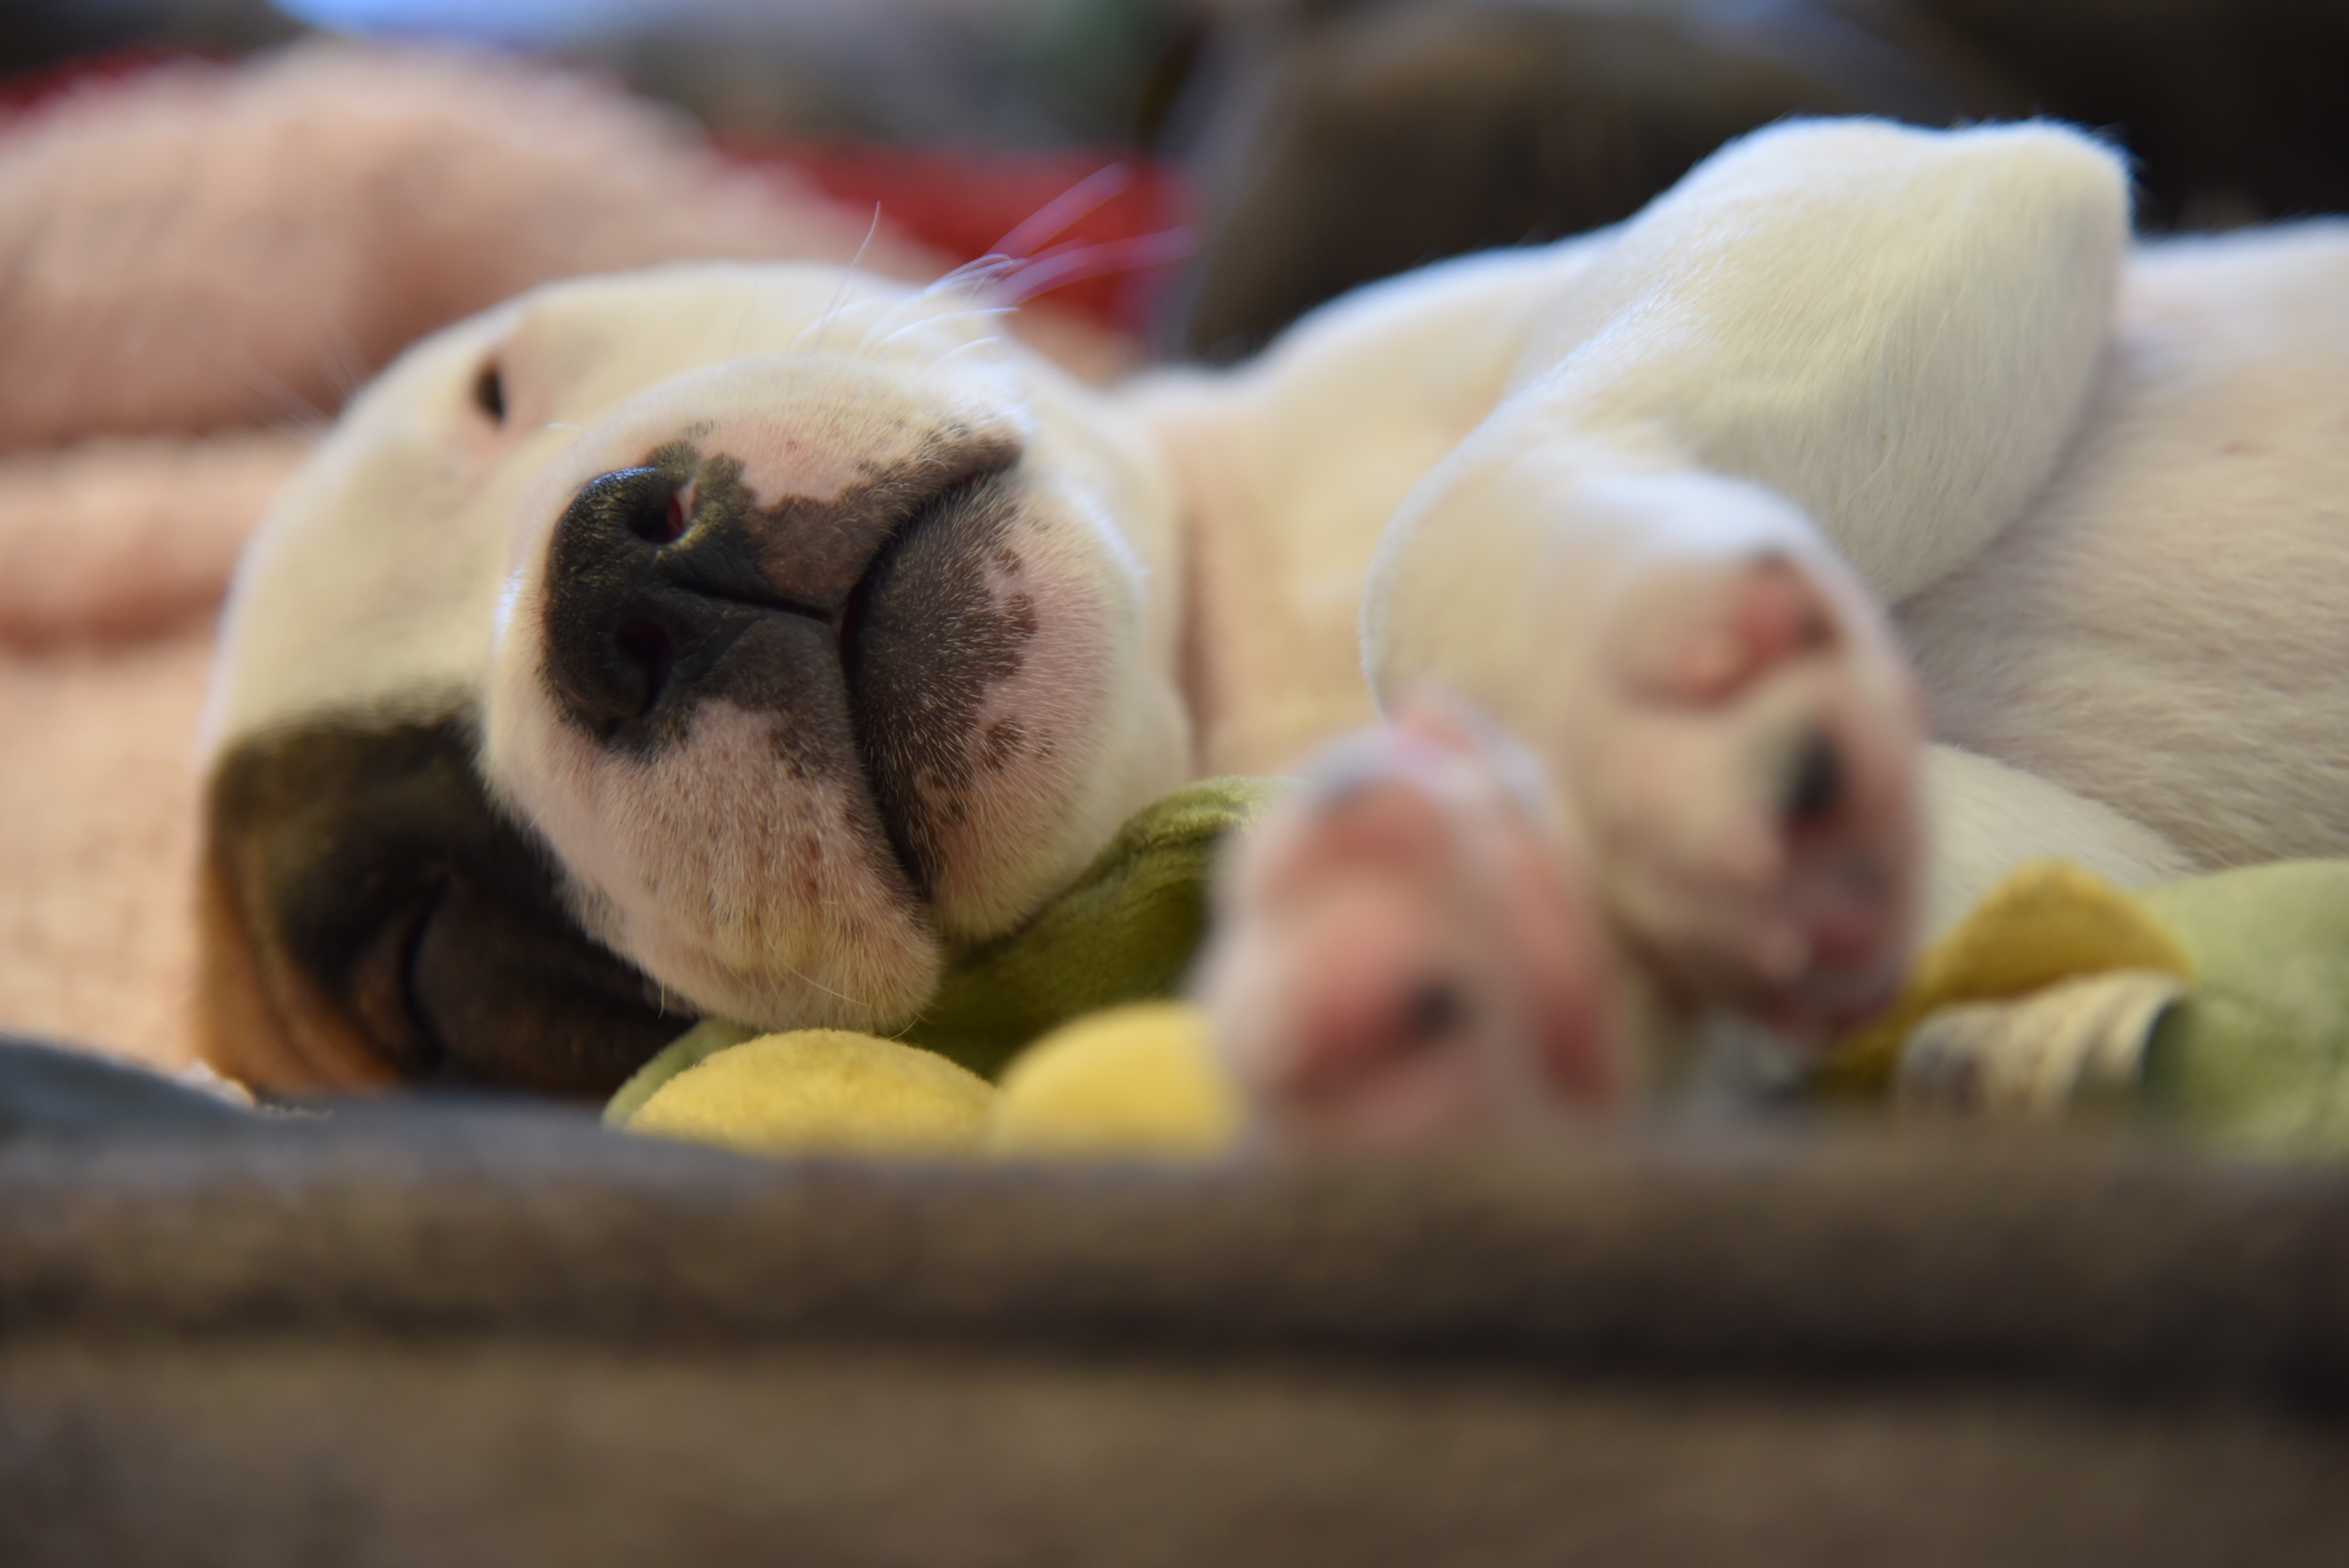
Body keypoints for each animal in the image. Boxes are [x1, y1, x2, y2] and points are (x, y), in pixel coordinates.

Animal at [197, 119, 2349, 1103]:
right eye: (430, 956)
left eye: (495, 389)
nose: (616, 584)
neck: (1231, 649)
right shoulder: (2072, 871)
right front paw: (1501, 933)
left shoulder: (1865, 192)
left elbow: (1444, 528)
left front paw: (1627, 680)